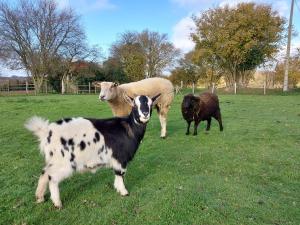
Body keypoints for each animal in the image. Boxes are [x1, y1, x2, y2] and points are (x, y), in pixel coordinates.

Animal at [24, 94, 161, 208]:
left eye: (150, 104)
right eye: (134, 105)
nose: (145, 114)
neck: (129, 127)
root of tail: (46, 131)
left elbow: (117, 174)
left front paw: (118, 189)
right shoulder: (120, 158)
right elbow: (120, 174)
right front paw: (124, 192)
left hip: (54, 159)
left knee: (44, 172)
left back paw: (40, 197)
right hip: (64, 162)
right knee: (52, 178)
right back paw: (57, 203)